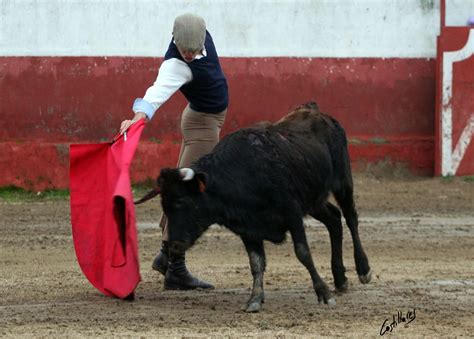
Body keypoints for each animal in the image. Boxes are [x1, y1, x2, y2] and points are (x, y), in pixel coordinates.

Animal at [135, 103, 372, 314]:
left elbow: (302, 252)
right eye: (164, 206)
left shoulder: (292, 212)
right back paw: (340, 279)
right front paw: (255, 299)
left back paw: (363, 270)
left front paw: (323, 293)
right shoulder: (248, 228)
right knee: (334, 218)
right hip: (313, 199)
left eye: (181, 201)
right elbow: (256, 263)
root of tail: (313, 109)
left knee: (350, 218)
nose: (174, 245)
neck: (241, 174)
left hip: (342, 181)